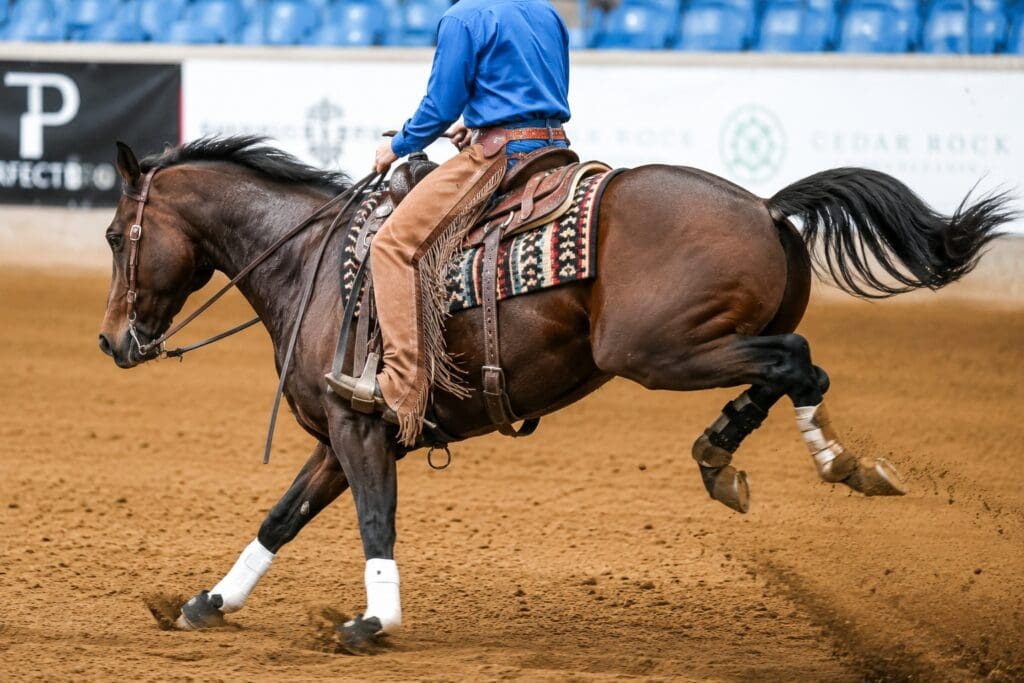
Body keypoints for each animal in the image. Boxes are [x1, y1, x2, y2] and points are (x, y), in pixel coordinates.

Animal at [98, 136, 1012, 650]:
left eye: (114, 234)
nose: (111, 341)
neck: (317, 266)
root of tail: (765, 204)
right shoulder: (344, 433)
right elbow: (280, 517)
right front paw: (207, 601)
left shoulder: (360, 433)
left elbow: (374, 521)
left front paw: (373, 622)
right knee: (784, 369)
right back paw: (732, 456)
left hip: (661, 348)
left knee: (797, 363)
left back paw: (815, 460)